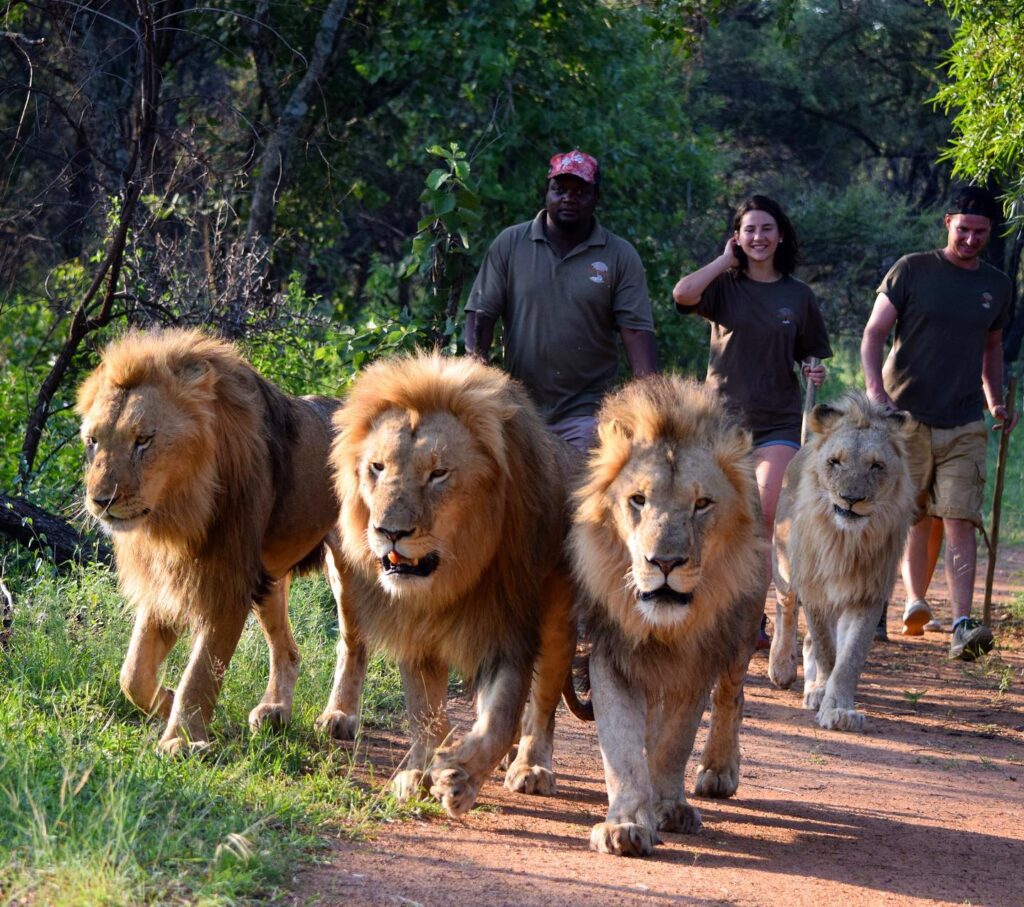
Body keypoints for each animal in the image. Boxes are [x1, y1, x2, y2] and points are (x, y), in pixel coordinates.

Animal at [76, 328, 343, 754]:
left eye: (143, 440)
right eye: (93, 441)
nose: (101, 500)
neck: (175, 516)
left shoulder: (227, 584)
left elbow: (201, 672)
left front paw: (181, 742)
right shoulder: (165, 581)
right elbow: (132, 672)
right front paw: (165, 702)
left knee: (351, 644)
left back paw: (339, 717)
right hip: (268, 578)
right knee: (287, 649)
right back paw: (275, 712)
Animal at [325, 353, 577, 818]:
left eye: (438, 474)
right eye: (377, 467)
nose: (390, 531)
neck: (447, 583)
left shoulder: (510, 631)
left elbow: (502, 719)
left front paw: (459, 776)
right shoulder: (413, 631)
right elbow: (424, 712)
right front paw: (420, 772)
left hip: (557, 621)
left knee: (543, 702)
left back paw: (530, 766)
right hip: (349, 583)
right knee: (352, 643)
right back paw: (339, 716)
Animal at [570, 376, 767, 857]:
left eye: (702, 504)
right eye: (638, 500)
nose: (664, 562)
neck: (665, 627)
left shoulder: (697, 662)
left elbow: (675, 741)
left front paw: (669, 807)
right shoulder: (612, 653)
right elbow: (621, 746)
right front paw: (624, 824)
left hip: (743, 631)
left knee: (731, 697)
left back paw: (718, 770)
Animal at [769, 392, 914, 732]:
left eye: (876, 465)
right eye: (835, 462)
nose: (850, 499)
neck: (845, 542)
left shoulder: (867, 595)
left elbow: (849, 658)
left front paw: (839, 707)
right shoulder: (815, 592)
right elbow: (827, 650)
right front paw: (823, 693)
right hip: (784, 564)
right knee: (785, 607)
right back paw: (782, 667)